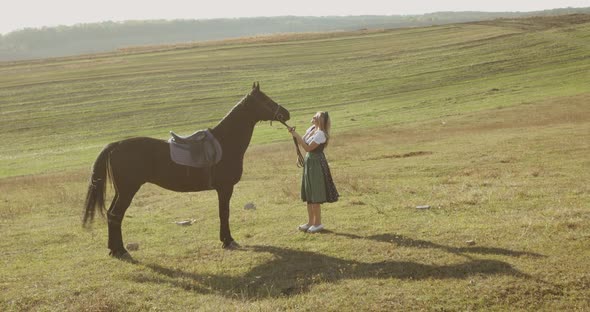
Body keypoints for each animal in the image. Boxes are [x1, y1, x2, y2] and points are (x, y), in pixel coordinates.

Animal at [83, 81, 292, 258]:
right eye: (265, 100)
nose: (286, 113)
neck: (226, 142)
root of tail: (115, 145)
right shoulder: (225, 188)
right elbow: (224, 213)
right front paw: (228, 240)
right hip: (128, 190)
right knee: (115, 215)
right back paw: (121, 251)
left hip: (122, 191)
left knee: (111, 215)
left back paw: (114, 249)